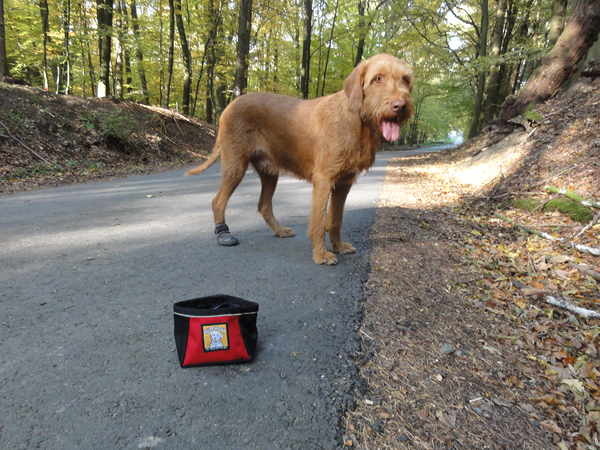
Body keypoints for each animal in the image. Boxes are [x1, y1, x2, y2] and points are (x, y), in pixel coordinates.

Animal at [185, 54, 414, 265]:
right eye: (377, 79)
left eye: (406, 80)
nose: (400, 106)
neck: (356, 122)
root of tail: (227, 107)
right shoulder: (324, 180)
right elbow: (320, 220)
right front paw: (321, 254)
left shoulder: (344, 183)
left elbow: (336, 219)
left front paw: (338, 246)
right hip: (235, 165)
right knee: (218, 201)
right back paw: (224, 235)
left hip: (269, 172)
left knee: (264, 205)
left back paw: (279, 230)